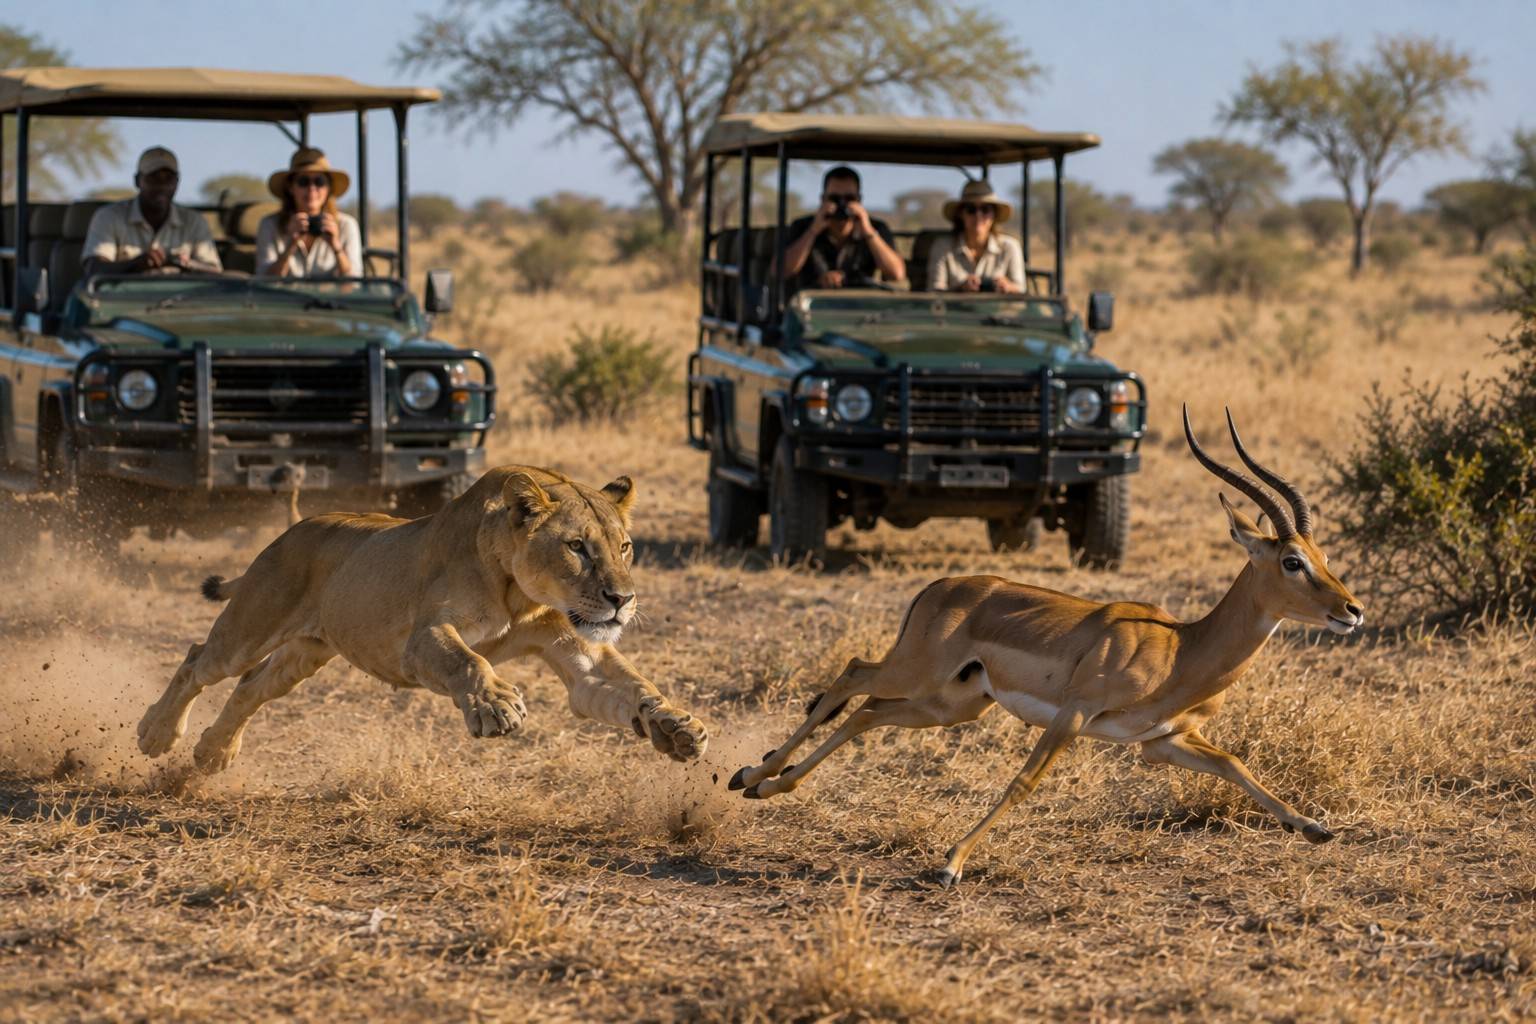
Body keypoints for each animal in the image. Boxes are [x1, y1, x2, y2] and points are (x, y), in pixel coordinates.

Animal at [136, 466, 708, 774]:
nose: (622, 599)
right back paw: (156, 733)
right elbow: (469, 661)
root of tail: (297, 525)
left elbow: (629, 686)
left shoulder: (578, 655)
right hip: (251, 626)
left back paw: (214, 752)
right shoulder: (424, 637)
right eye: (577, 548)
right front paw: (495, 706)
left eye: (625, 546)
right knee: (199, 662)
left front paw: (676, 726)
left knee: (251, 688)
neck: (518, 596)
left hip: (304, 654)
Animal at [729, 407, 1364, 886]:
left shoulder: (1160, 742)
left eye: (1325, 556)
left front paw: (1314, 828)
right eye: (1292, 561)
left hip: (951, 704)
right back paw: (750, 774)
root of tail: (941, 585)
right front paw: (952, 864)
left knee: (866, 712)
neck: (1182, 650)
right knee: (853, 674)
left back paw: (764, 784)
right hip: (917, 674)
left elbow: (1234, 763)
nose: (1352, 611)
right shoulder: (1075, 714)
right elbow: (1025, 781)